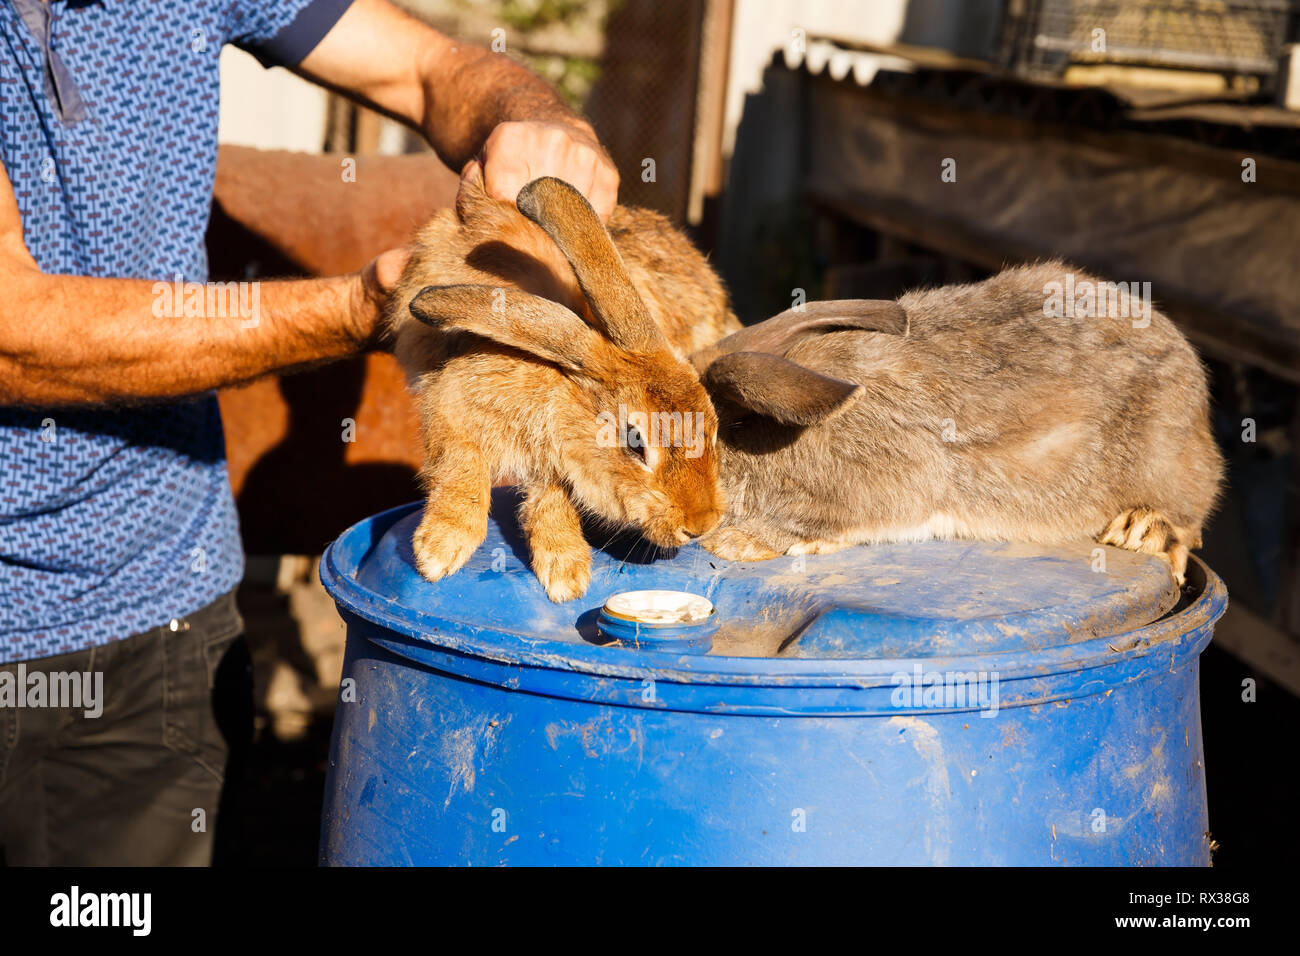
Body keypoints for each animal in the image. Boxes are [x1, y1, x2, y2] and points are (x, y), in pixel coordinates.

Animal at [387, 175, 733, 600]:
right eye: (636, 443)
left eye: (713, 427)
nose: (701, 524)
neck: (561, 378)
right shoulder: (451, 409)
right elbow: (462, 466)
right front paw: (440, 549)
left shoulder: (554, 464)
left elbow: (553, 499)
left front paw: (566, 572)